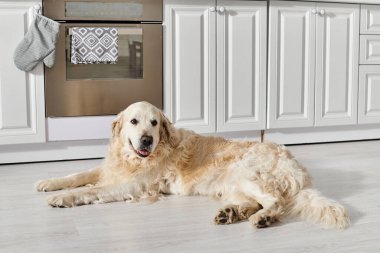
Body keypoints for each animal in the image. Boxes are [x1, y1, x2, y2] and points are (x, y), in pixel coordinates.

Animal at [36, 101, 350, 229]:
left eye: (154, 123)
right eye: (134, 121)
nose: (147, 140)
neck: (132, 160)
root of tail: (298, 170)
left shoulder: (134, 185)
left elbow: (90, 190)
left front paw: (63, 198)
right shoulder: (109, 170)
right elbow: (78, 174)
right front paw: (49, 183)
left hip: (246, 173)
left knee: (275, 202)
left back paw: (263, 219)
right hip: (233, 183)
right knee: (254, 202)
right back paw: (230, 213)